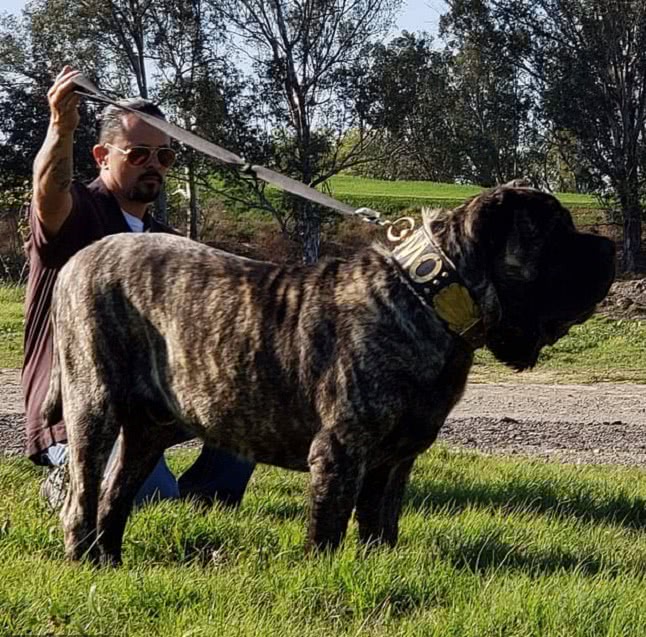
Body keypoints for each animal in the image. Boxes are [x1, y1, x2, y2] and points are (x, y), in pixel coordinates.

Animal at [44, 183, 616, 560]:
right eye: (556, 233)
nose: (608, 247)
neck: (431, 299)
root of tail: (80, 256)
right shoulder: (342, 450)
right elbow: (330, 526)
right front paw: (323, 570)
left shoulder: (395, 459)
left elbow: (381, 522)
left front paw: (378, 565)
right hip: (93, 405)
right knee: (83, 494)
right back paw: (84, 560)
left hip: (151, 428)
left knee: (117, 493)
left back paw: (110, 558)